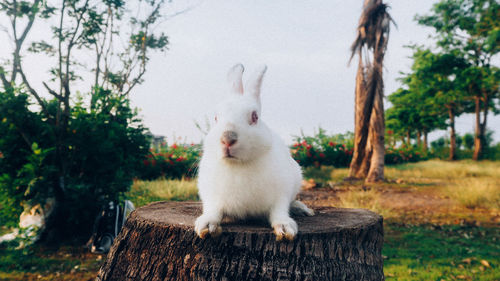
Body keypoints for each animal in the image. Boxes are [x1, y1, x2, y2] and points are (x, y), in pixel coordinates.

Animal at [194, 63, 312, 241]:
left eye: (255, 116)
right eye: (216, 118)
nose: (227, 138)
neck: (238, 165)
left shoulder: (281, 195)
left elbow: (279, 211)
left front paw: (285, 229)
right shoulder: (212, 196)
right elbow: (213, 211)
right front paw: (206, 226)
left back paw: (301, 208)